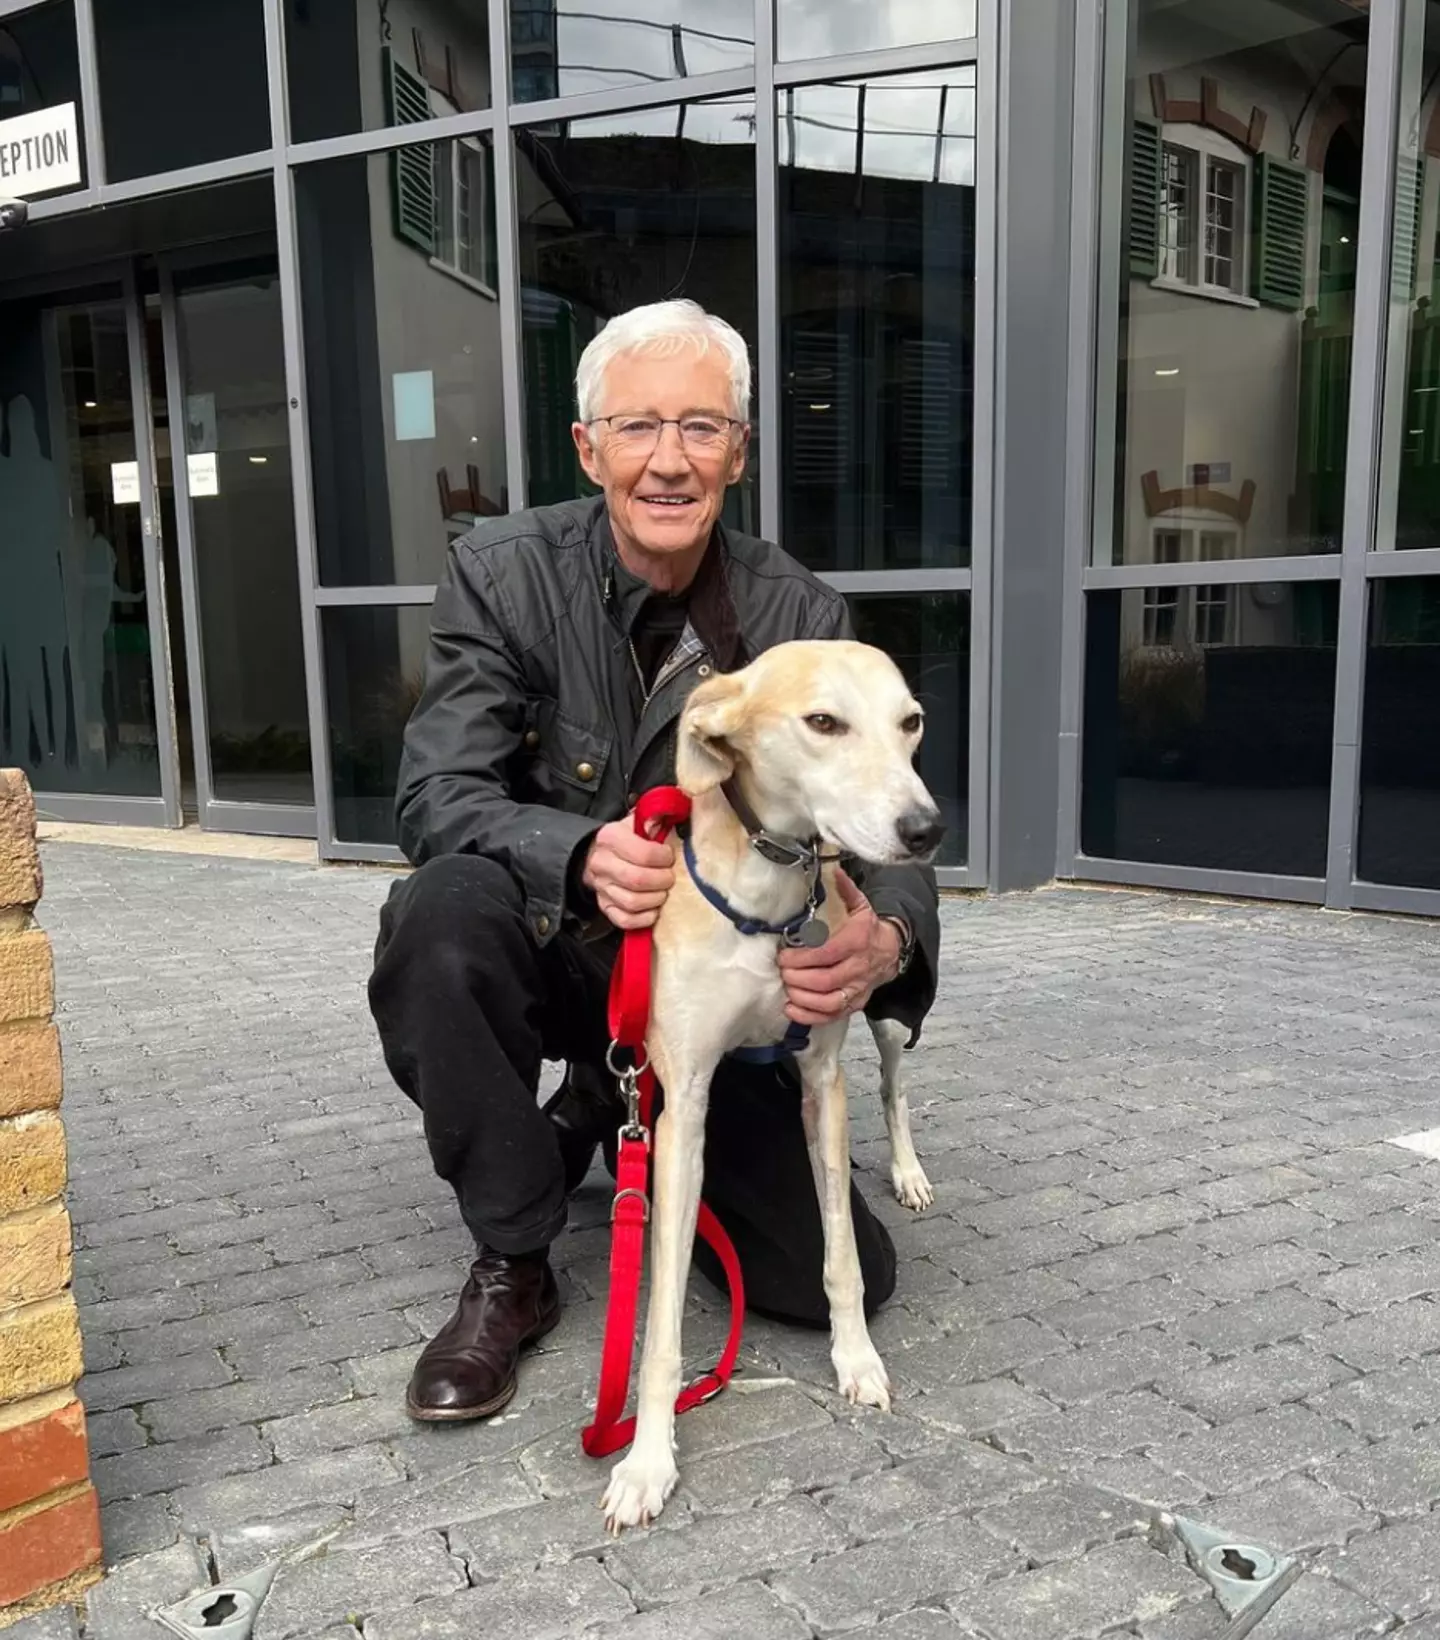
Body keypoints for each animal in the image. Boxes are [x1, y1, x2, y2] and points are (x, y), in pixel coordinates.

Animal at [600, 633, 944, 1528]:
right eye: (823, 722)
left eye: (911, 722)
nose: (925, 829)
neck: (770, 901)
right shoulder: (680, 1105)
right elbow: (659, 1323)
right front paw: (646, 1462)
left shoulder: (822, 1081)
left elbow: (842, 1256)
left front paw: (857, 1361)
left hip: (886, 1010)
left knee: (895, 1087)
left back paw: (908, 1173)